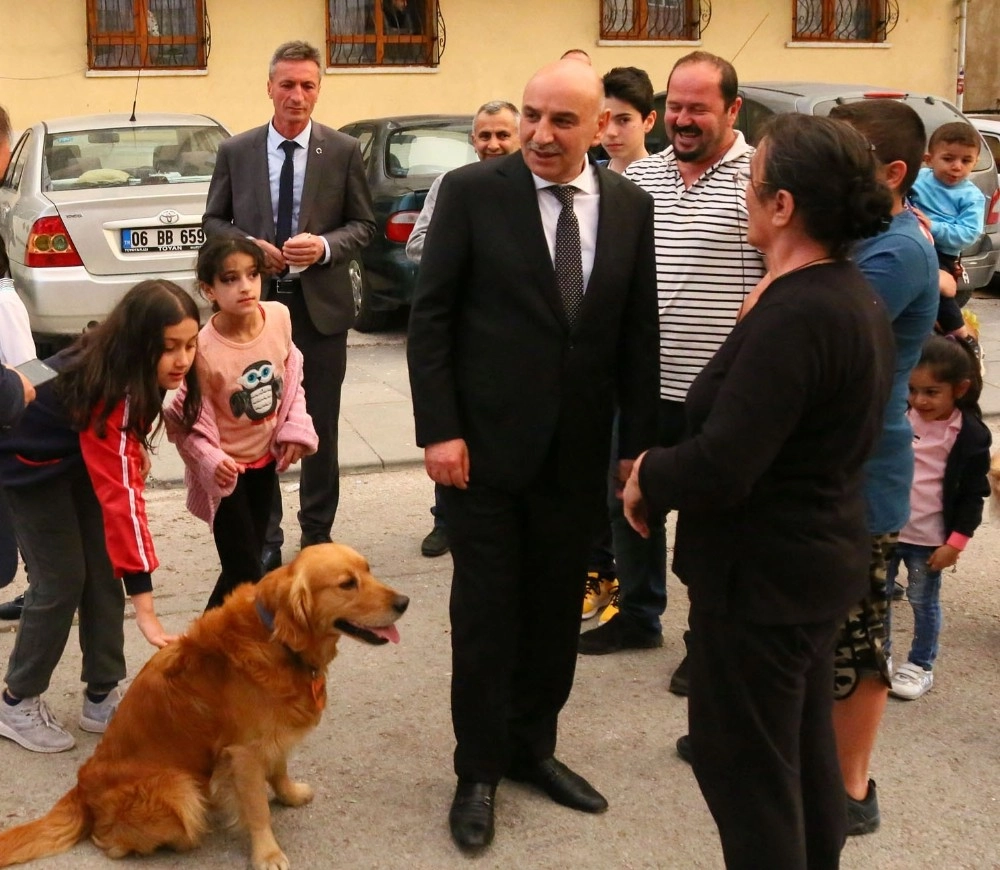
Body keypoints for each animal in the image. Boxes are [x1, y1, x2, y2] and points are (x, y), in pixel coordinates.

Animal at [0, 544, 410, 870]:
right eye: (347, 584)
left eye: (368, 570)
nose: (403, 603)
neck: (276, 637)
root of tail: (82, 788)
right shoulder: (244, 752)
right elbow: (258, 809)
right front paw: (267, 854)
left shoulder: (271, 734)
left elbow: (279, 768)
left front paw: (290, 794)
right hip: (179, 788)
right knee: (112, 839)